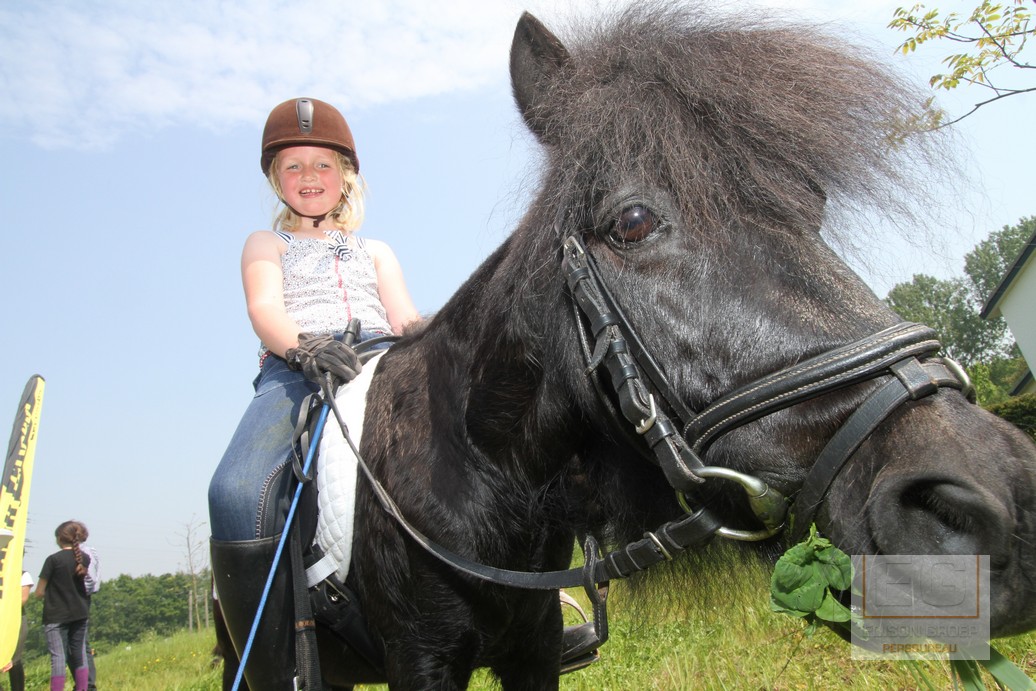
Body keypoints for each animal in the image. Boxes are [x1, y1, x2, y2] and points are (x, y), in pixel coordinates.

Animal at [220, 4, 1036, 689]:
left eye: (812, 200)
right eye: (633, 223)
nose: (1005, 503)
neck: (470, 468)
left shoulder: (534, 653)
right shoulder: (422, 662)